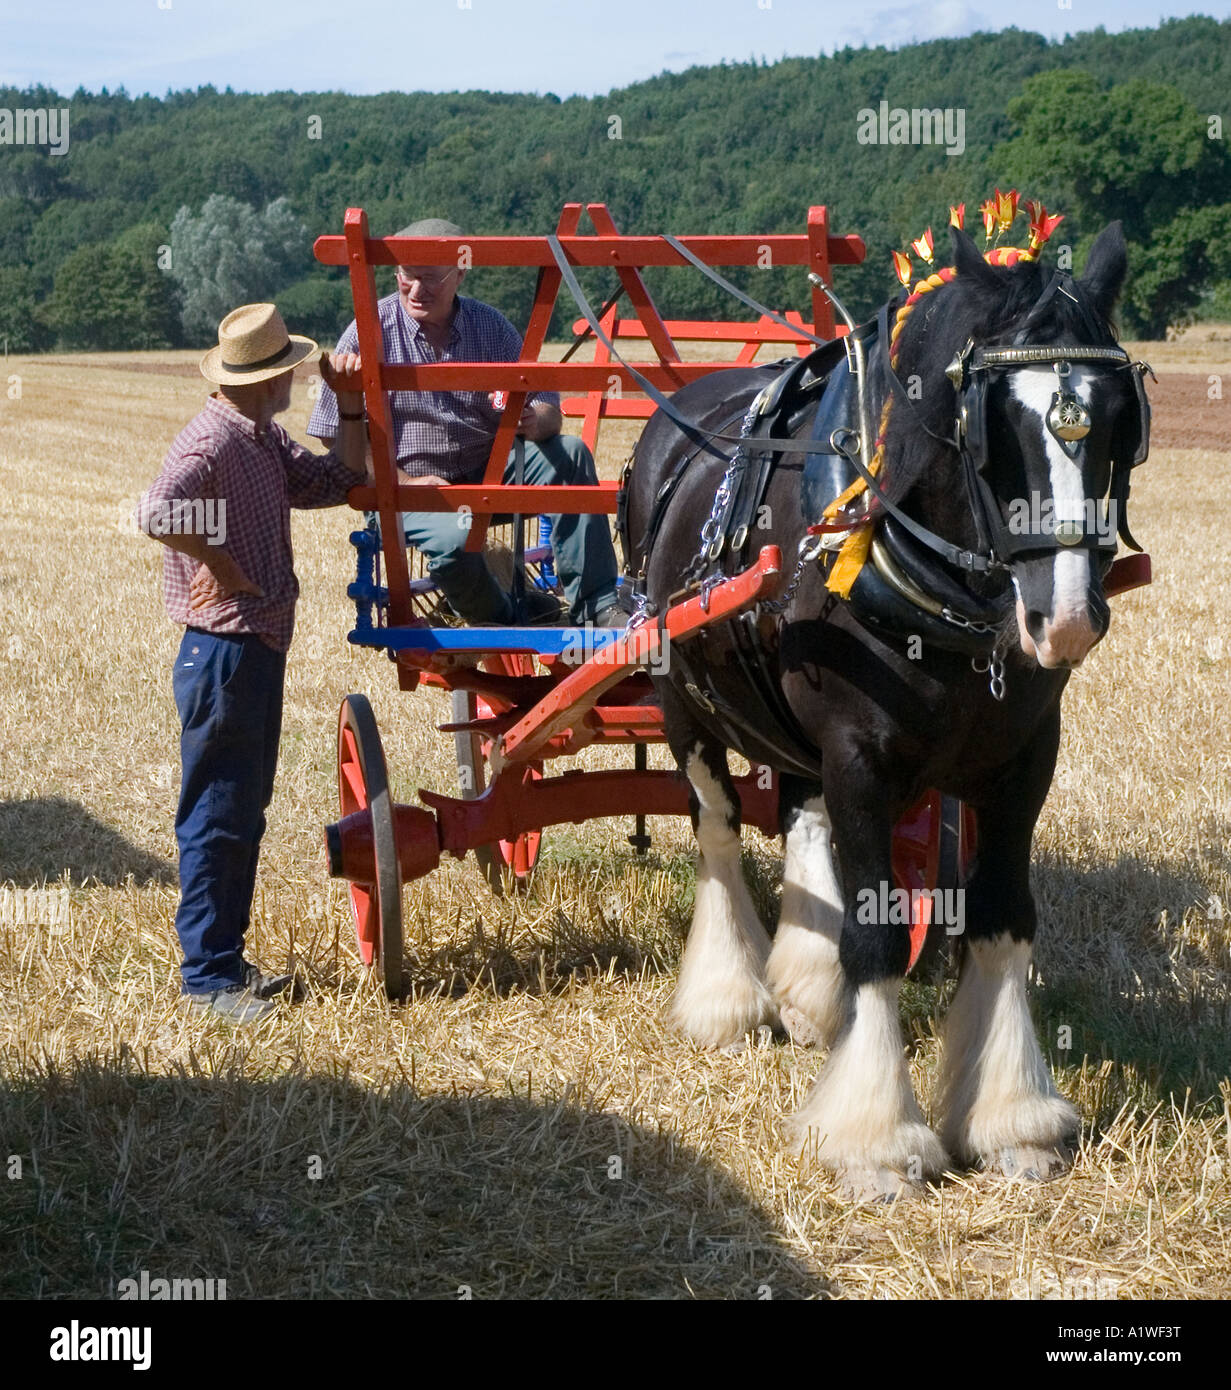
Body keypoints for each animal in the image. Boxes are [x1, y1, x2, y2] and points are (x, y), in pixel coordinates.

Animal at [622, 222, 1149, 1201]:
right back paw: (728, 997)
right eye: (991, 427)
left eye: (1114, 422)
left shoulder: (1025, 757)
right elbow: (872, 933)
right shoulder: (859, 754)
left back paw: (803, 990)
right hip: (681, 699)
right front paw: (874, 1136)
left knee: (797, 811)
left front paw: (1010, 1118)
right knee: (717, 825)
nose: (1063, 617)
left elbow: (1001, 914)